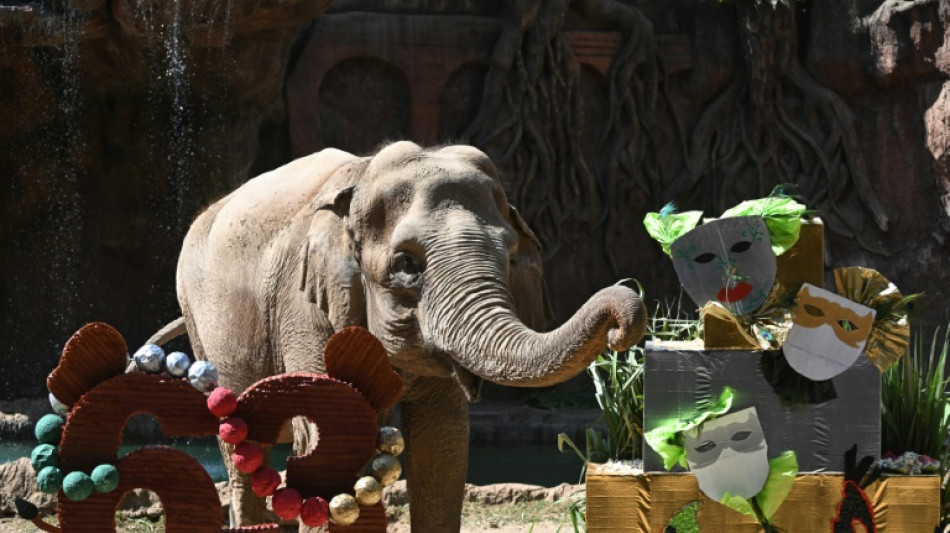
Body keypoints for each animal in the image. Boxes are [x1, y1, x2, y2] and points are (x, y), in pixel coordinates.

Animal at [154, 139, 648, 528]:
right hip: (200, 318)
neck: (360, 177)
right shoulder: (304, 307)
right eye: (407, 264)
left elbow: (443, 440)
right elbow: (328, 432)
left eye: (509, 257)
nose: (624, 317)